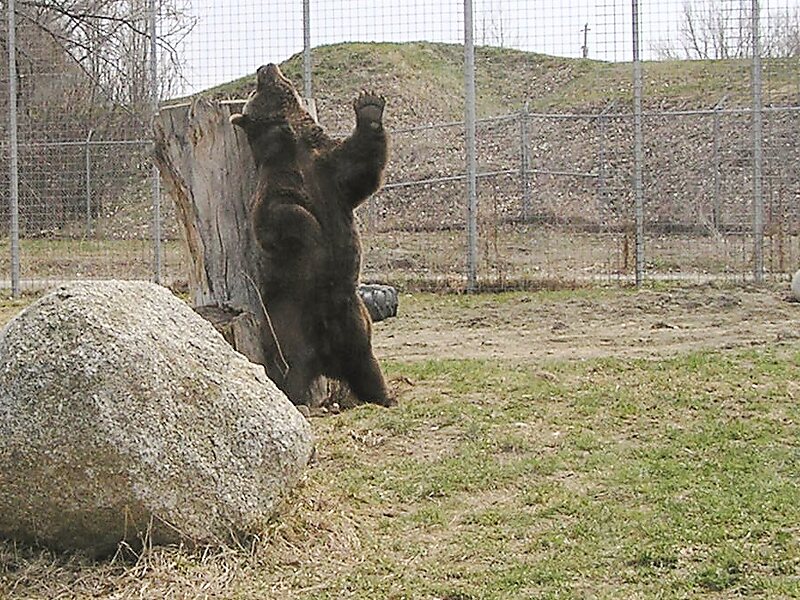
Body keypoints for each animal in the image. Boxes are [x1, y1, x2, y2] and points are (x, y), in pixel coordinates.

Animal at [228, 63, 394, 406]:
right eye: (256, 88)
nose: (264, 66)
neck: (293, 145)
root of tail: (328, 360)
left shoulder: (331, 170)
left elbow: (363, 165)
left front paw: (370, 104)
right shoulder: (276, 187)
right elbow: (282, 218)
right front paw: (313, 231)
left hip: (356, 321)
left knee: (366, 363)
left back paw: (384, 396)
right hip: (289, 321)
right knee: (291, 364)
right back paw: (293, 397)